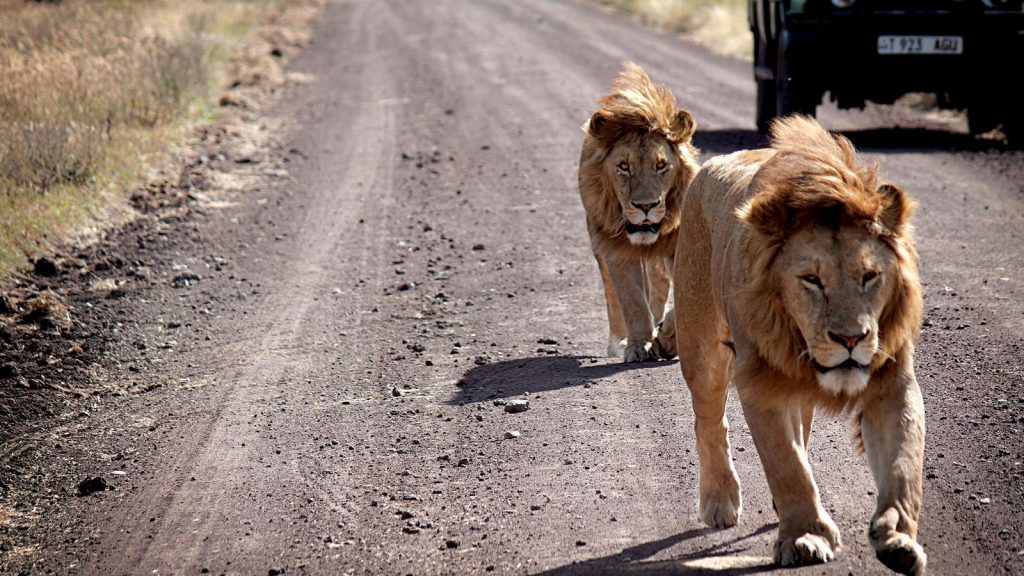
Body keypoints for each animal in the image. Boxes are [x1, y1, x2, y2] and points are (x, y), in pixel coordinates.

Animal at [578, 62, 700, 362]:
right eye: (624, 166)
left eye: (661, 166)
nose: (646, 206)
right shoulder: (616, 248)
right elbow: (632, 300)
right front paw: (638, 345)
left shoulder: (679, 245)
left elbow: (680, 298)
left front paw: (665, 339)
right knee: (614, 294)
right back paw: (621, 340)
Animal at [673, 116, 926, 575]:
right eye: (811, 280)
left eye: (870, 276)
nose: (851, 339)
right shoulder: (761, 383)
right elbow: (787, 466)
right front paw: (806, 537)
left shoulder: (893, 383)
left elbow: (903, 466)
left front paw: (898, 540)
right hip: (703, 352)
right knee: (710, 422)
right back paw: (719, 499)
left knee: (803, 430)